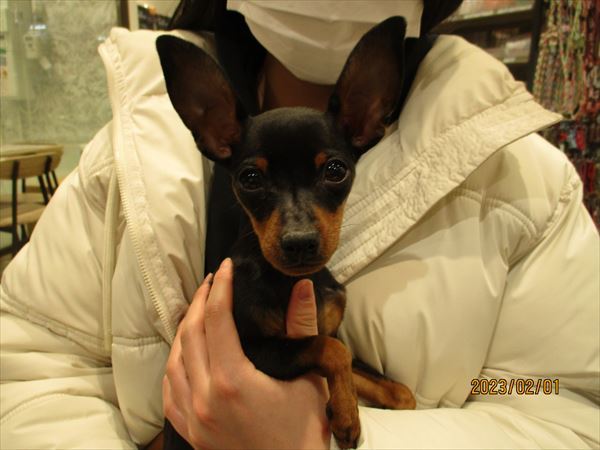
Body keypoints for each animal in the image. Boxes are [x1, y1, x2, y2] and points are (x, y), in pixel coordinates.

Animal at [156, 16, 415, 449]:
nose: (299, 243)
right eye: (250, 178)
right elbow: (332, 351)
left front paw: (358, 403)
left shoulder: (330, 327)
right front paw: (346, 414)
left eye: (336, 171)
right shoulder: (257, 353)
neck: (294, 281)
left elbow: (390, 385)